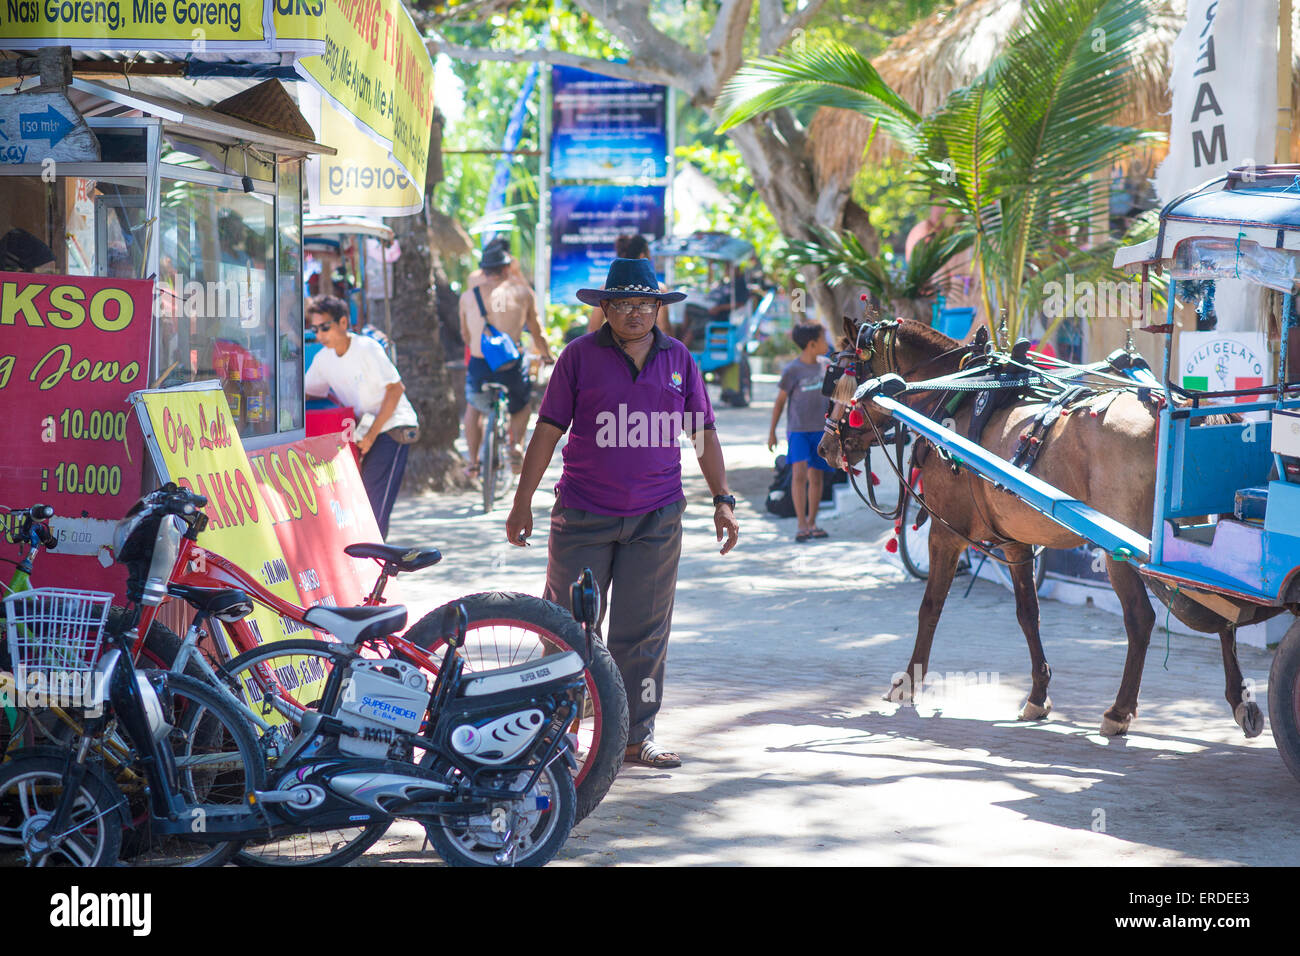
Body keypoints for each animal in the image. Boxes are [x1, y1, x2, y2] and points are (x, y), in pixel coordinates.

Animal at [816, 317, 1274, 738]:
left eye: (845, 377)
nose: (824, 447)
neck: (954, 394)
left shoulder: (944, 534)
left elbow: (930, 608)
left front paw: (907, 683)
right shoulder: (1015, 543)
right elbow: (1028, 614)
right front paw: (1038, 695)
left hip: (1121, 548)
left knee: (1143, 619)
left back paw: (1119, 710)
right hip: (1190, 534)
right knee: (1223, 609)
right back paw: (1241, 701)